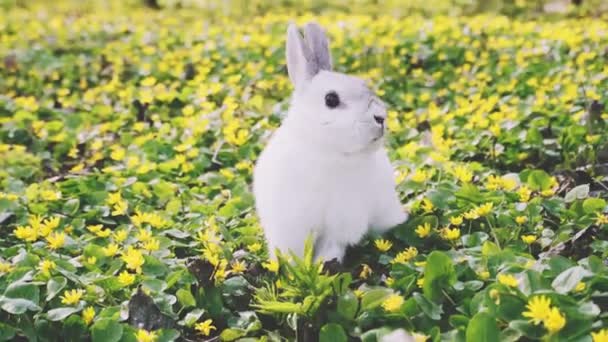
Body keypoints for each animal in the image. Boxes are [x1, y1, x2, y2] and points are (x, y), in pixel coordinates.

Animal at [253, 22, 408, 262]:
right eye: (331, 99)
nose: (380, 118)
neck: (326, 150)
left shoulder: (342, 220)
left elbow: (332, 245)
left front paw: (326, 263)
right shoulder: (290, 224)